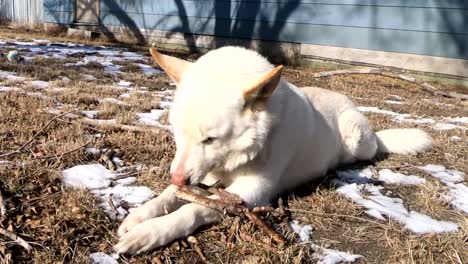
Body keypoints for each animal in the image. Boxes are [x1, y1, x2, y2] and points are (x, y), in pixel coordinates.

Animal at [114, 46, 432, 255]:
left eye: (210, 139)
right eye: (177, 132)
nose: (179, 178)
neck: (237, 155)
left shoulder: (249, 194)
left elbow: (193, 209)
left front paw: (151, 232)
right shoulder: (200, 175)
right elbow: (168, 196)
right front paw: (140, 216)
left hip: (357, 139)